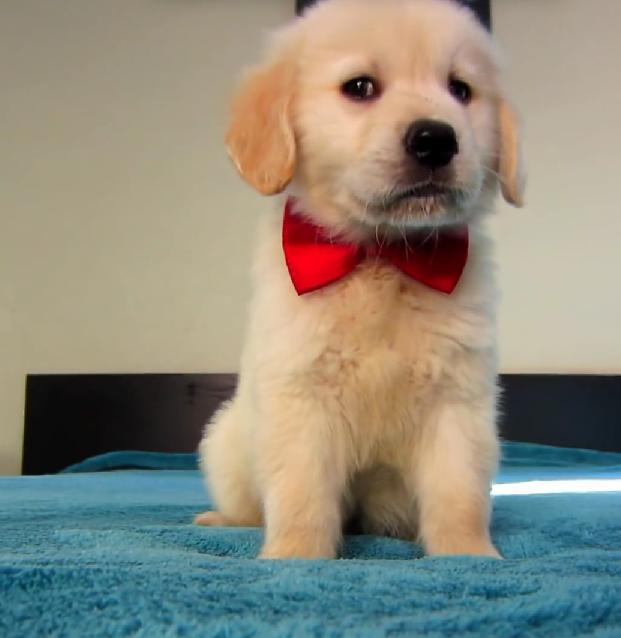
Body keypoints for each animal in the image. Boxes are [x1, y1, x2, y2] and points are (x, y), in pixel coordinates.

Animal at [195, 0, 524, 560]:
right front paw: (294, 557)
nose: (436, 139)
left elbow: (458, 492)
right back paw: (221, 520)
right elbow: (301, 494)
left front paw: (469, 556)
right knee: (246, 504)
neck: (384, 256)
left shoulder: (457, 399)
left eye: (461, 89)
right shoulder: (301, 394)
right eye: (360, 87)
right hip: (227, 444)